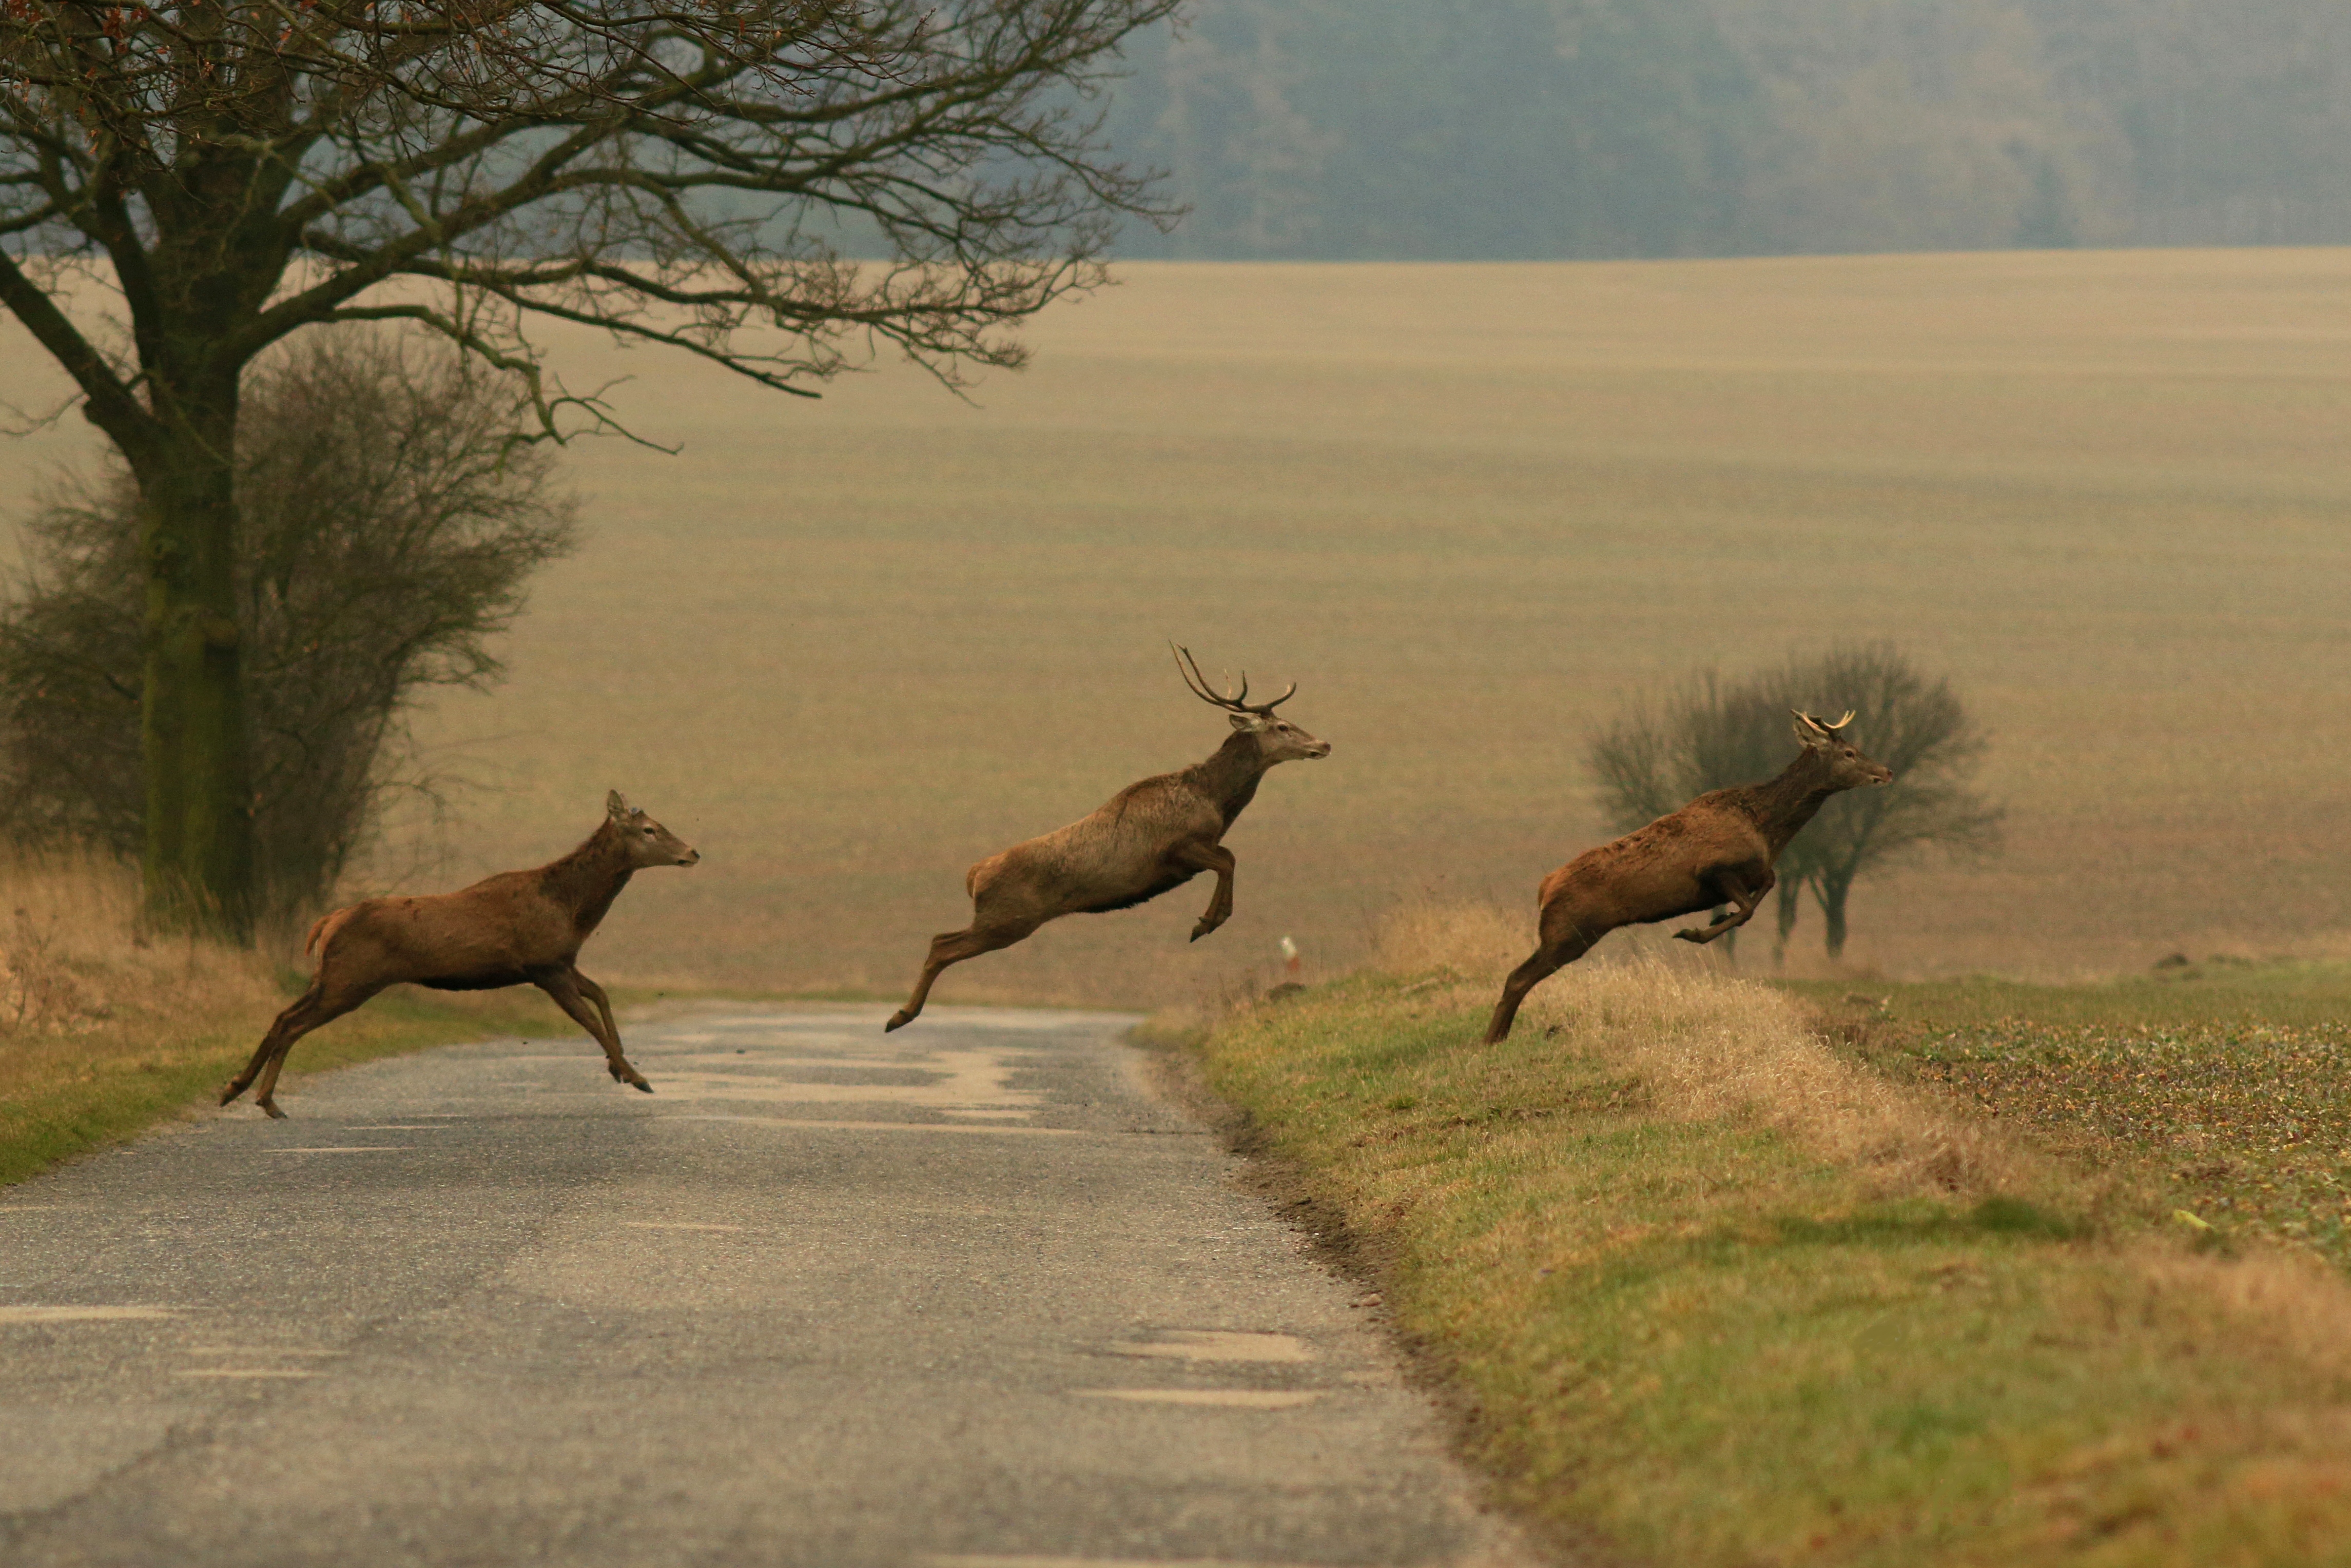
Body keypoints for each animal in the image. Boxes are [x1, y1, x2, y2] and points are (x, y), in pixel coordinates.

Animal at [220, 799, 695, 1114]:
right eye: (649, 829)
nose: (692, 852)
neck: (572, 910)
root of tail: (328, 922)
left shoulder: (562, 961)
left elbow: (602, 996)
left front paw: (619, 1068)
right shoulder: (543, 964)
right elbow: (590, 1019)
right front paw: (638, 1077)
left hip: (329, 976)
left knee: (283, 1015)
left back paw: (236, 1088)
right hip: (352, 979)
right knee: (293, 1023)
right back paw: (263, 1099)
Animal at [884, 649, 1335, 1029]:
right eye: (1283, 726)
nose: (1324, 743)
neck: (1214, 799)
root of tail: (974, 874)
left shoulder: (1198, 848)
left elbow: (1229, 856)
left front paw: (1207, 921)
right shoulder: (1178, 847)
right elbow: (1229, 859)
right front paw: (1205, 923)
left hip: (1002, 918)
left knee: (940, 939)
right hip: (1008, 917)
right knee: (942, 945)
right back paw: (900, 1016)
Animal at [1476, 710, 1899, 1044]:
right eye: (1849, 753)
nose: (1887, 771)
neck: (1767, 828)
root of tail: (1543, 888)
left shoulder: (1754, 871)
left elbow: (1767, 883)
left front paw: (1713, 920)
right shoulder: (1713, 867)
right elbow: (1748, 907)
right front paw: (1693, 932)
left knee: (1520, 976)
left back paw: (1498, 1036)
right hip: (1570, 930)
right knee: (1518, 977)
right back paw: (1491, 1039)